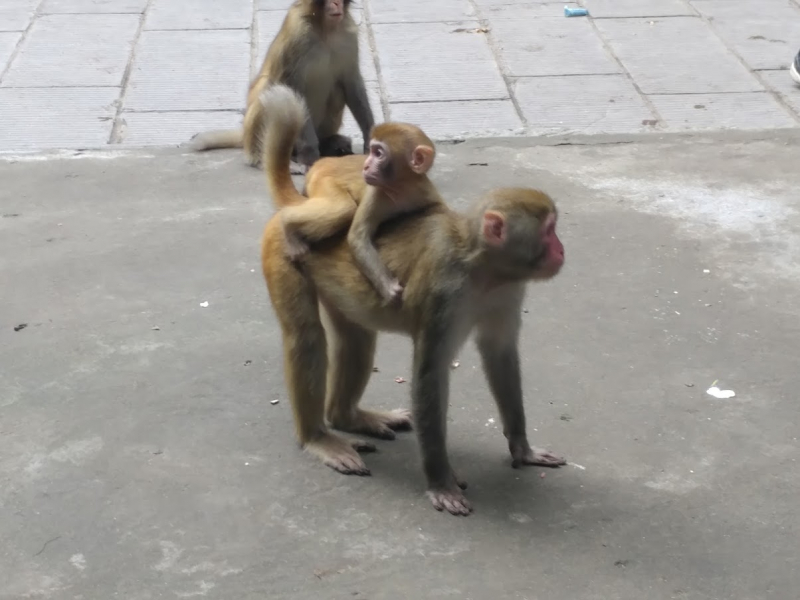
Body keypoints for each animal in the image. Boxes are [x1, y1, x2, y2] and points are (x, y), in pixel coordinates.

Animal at [188, 0, 376, 173]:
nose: (336, 3)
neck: (324, 29)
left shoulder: (348, 35)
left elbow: (351, 82)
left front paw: (370, 140)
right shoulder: (297, 34)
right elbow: (292, 88)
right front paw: (309, 153)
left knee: (337, 90)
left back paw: (328, 143)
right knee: (269, 91)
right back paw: (261, 159)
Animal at [260, 84, 564, 516]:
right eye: (549, 231)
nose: (561, 250)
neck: (481, 268)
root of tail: (296, 206)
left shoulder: (508, 290)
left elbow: (500, 354)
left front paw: (522, 448)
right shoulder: (445, 292)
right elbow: (429, 376)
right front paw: (441, 482)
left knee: (356, 339)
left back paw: (349, 417)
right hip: (280, 250)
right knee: (306, 337)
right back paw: (318, 437)